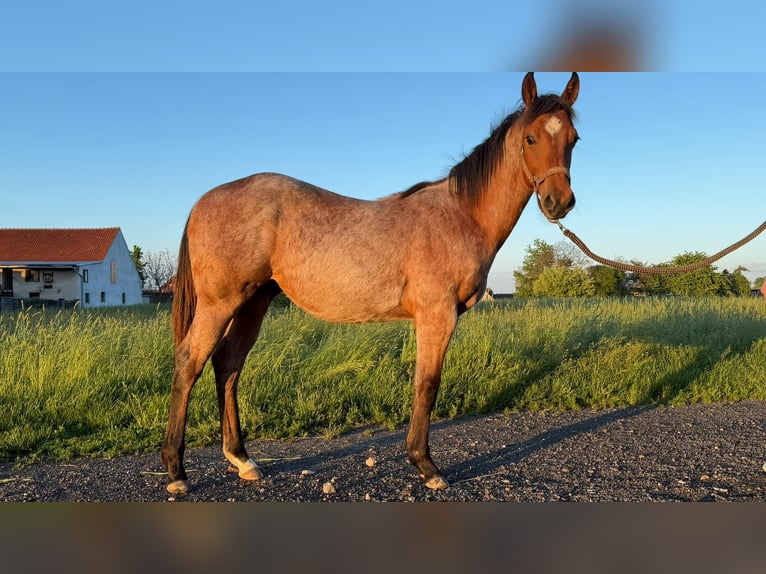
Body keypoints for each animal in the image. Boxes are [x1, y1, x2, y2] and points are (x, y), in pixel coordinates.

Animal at [161, 72, 581, 494]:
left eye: (574, 138)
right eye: (530, 138)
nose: (558, 202)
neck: (462, 215)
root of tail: (204, 200)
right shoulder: (437, 316)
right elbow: (427, 385)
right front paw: (426, 466)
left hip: (254, 302)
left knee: (228, 364)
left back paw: (242, 459)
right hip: (220, 303)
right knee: (189, 362)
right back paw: (177, 472)